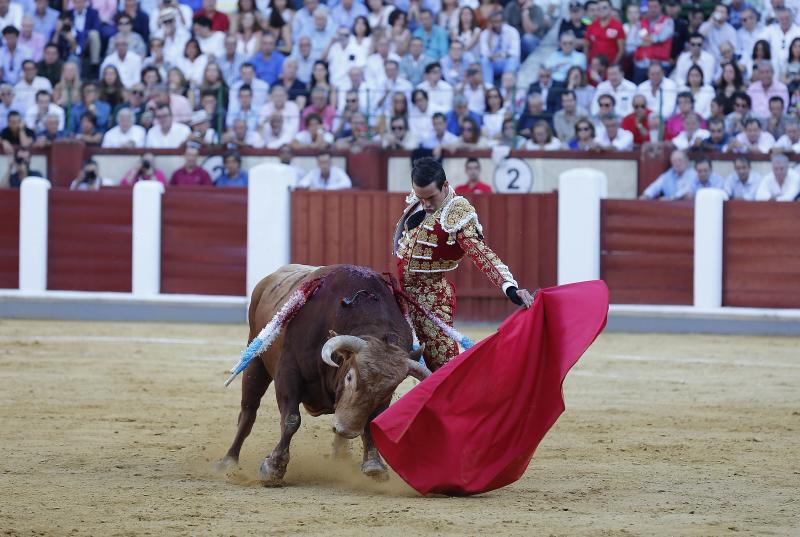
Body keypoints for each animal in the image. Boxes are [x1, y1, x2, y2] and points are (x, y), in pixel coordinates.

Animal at [217, 262, 432, 484]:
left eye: (389, 390)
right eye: (349, 377)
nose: (346, 430)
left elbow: (371, 422)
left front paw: (374, 466)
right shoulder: (288, 372)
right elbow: (291, 419)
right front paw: (273, 467)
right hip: (256, 360)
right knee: (248, 412)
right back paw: (229, 462)